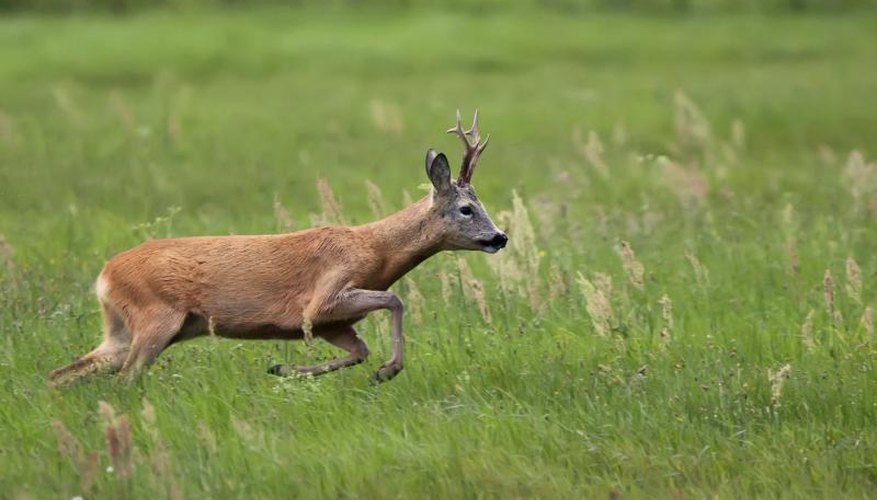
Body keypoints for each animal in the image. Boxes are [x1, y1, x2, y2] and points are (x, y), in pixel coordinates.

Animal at [48, 110, 510, 386]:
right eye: (467, 208)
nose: (500, 236)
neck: (375, 251)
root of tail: (104, 275)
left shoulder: (329, 324)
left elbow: (358, 351)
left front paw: (283, 368)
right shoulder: (323, 299)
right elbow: (394, 301)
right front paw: (389, 370)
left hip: (124, 328)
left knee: (63, 373)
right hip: (156, 317)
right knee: (125, 378)